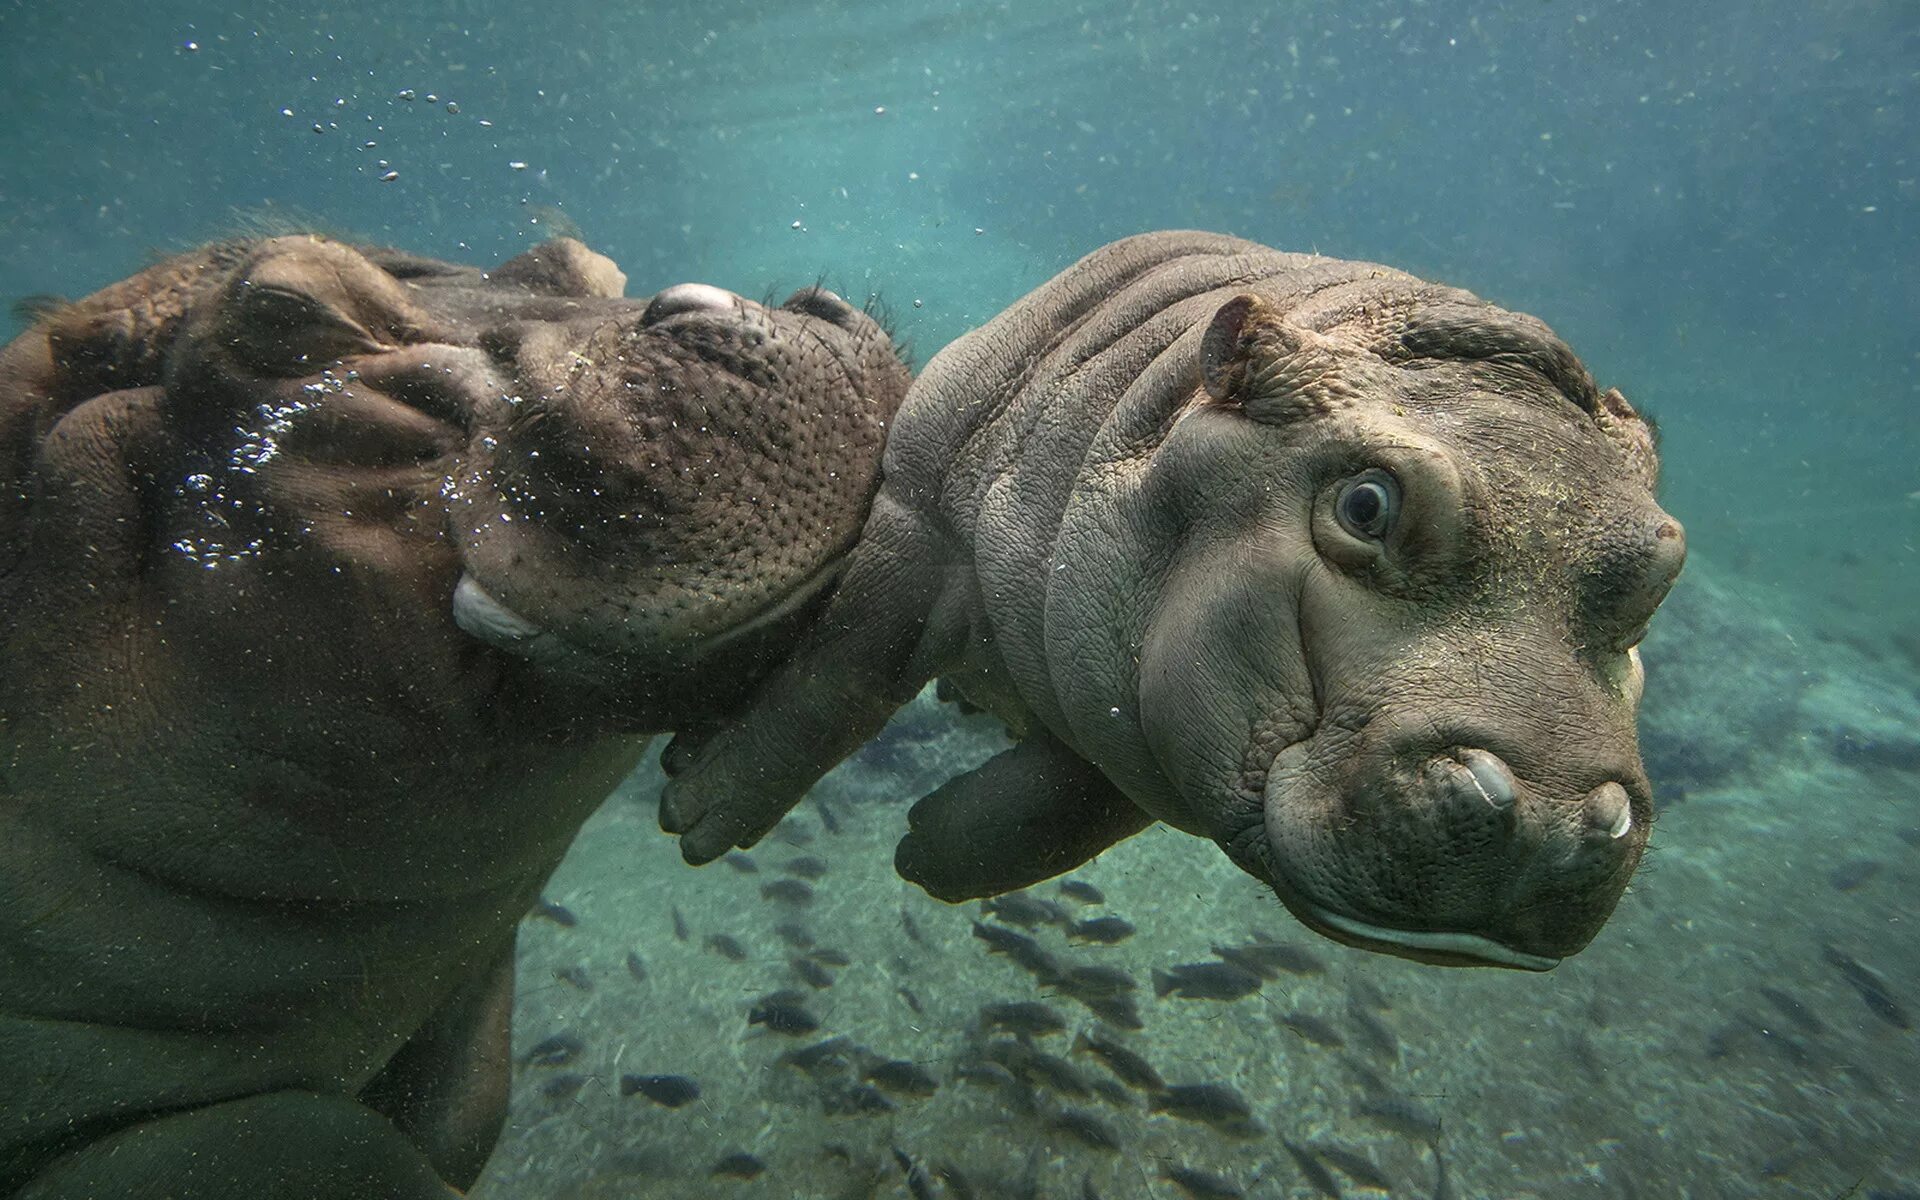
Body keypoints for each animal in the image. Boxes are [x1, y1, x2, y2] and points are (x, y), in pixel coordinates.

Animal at [660, 231, 1681, 975]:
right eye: (1366, 504)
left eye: (1659, 574)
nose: (1551, 817)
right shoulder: (921, 515)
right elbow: (839, 675)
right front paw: (694, 809)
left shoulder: (1134, 721)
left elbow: (1052, 817)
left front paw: (925, 852)